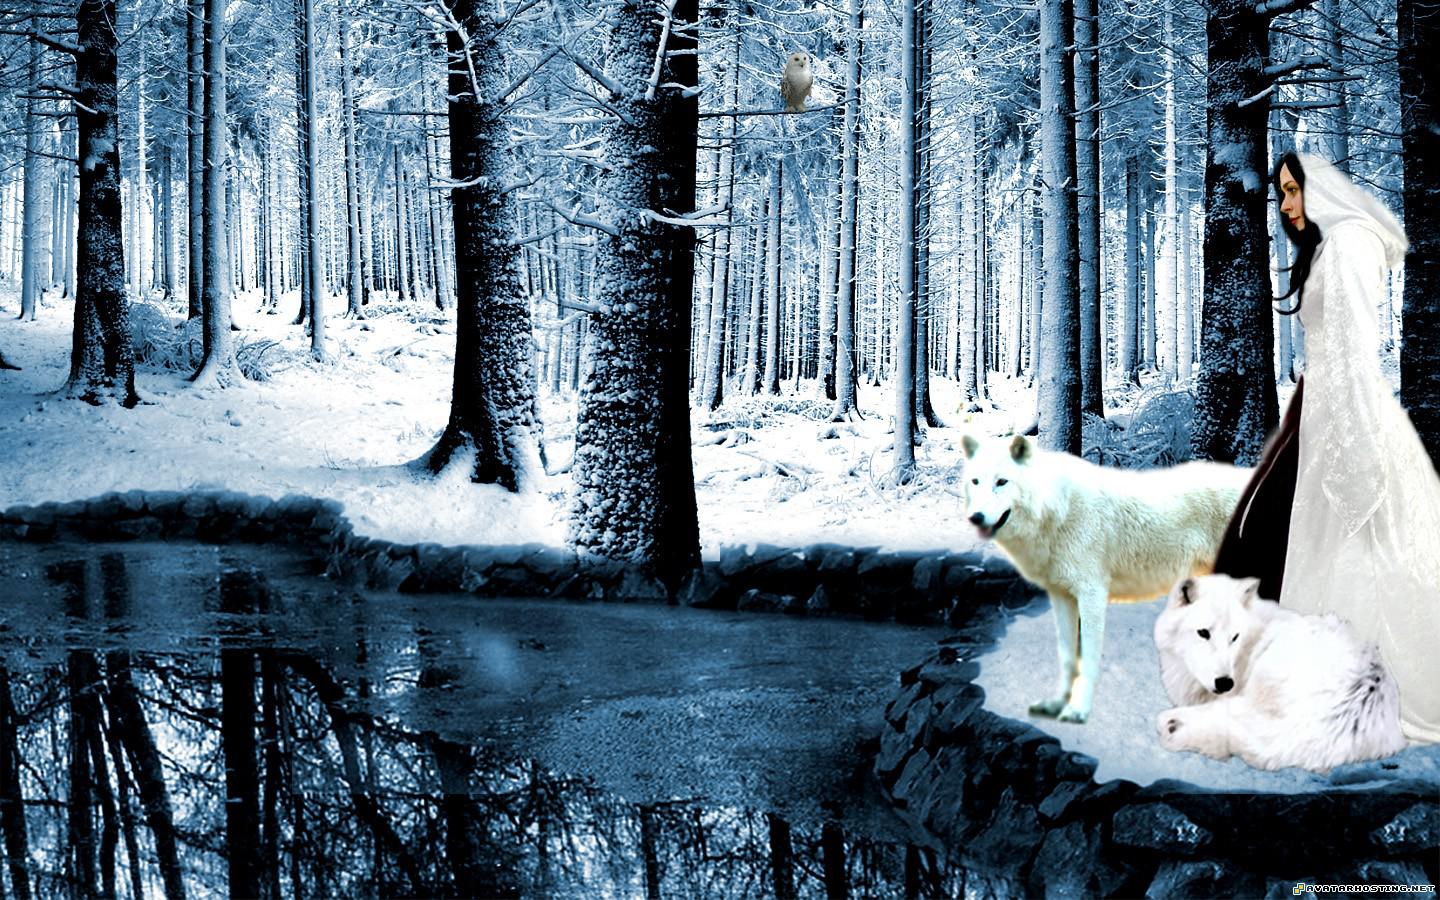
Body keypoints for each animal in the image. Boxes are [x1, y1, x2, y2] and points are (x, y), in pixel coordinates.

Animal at [961, 434, 1249, 723]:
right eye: (975, 481)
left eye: (1001, 482)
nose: (975, 518)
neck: (1058, 511)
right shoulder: (1061, 596)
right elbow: (1067, 658)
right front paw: (1057, 704)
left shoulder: (1092, 595)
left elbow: (1088, 659)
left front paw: (1079, 710)